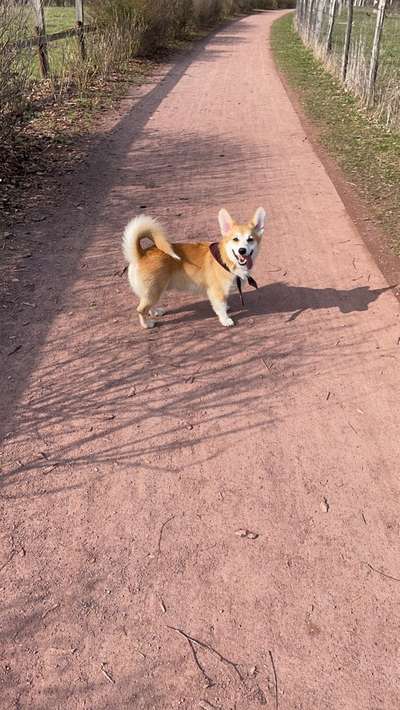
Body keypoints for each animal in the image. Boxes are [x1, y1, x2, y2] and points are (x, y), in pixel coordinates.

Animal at [122, 206, 266, 328]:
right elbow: (220, 308)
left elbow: (223, 305)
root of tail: (141, 254)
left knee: (149, 306)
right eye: (235, 239)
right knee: (141, 310)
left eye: (250, 239)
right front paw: (225, 320)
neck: (226, 259)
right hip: (153, 291)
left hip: (154, 292)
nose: (242, 250)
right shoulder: (217, 293)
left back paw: (156, 311)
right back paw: (147, 324)